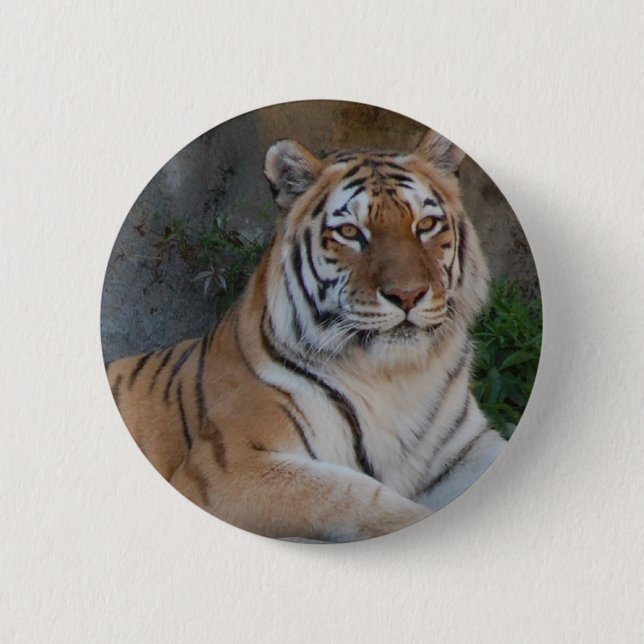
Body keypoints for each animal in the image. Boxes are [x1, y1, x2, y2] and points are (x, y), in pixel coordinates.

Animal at [105, 130, 506, 542]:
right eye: (349, 232)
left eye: (426, 225)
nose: (407, 295)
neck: (396, 377)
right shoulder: (227, 466)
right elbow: (359, 498)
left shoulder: (467, 448)